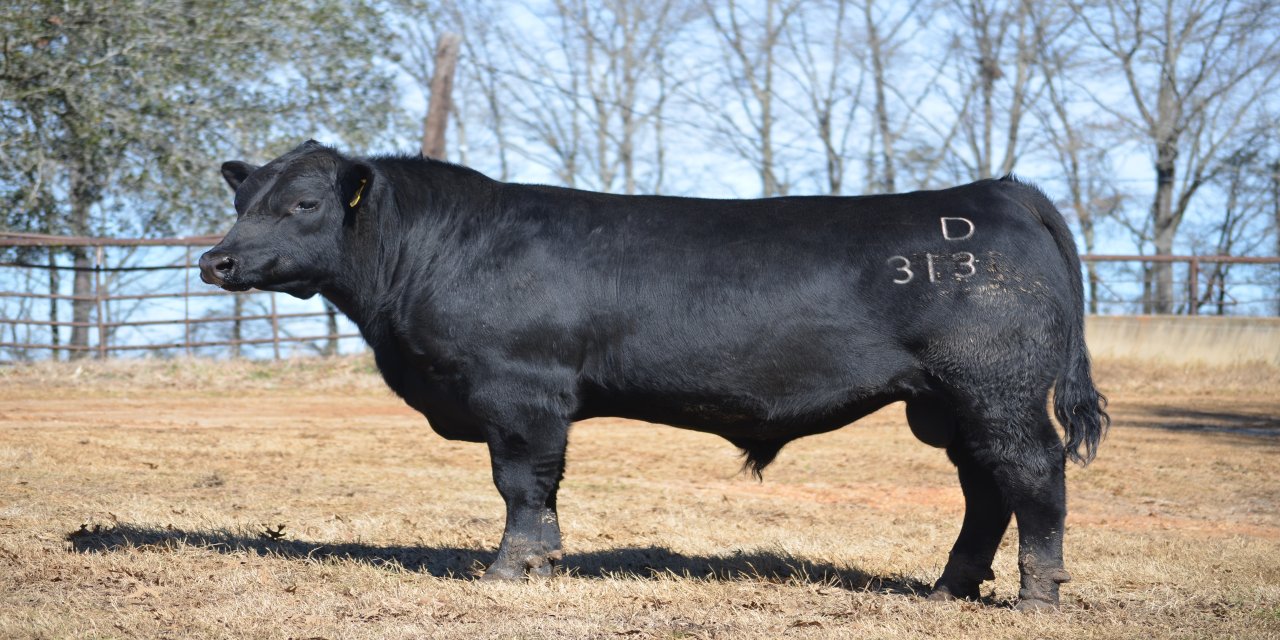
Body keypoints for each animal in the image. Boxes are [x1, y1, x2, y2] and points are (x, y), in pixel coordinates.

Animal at [199, 140, 1108, 611]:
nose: (217, 260)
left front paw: (510, 570)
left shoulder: (522, 394)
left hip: (998, 391)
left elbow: (522, 486)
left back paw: (1038, 594)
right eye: (245, 201)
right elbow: (539, 492)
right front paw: (541, 564)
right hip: (949, 405)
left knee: (1032, 475)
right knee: (985, 489)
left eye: (305, 205)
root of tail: (996, 192)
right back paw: (950, 587)